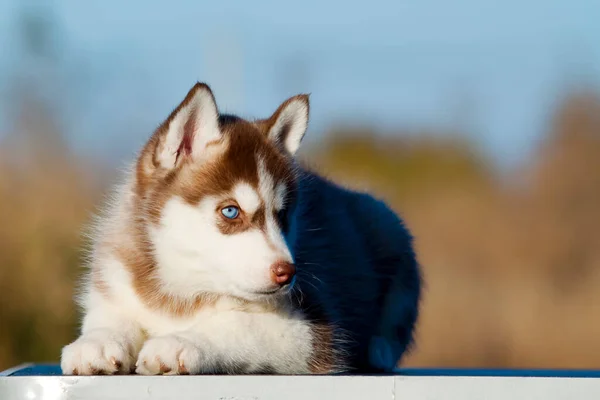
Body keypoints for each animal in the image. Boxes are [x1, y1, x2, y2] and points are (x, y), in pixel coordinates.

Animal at [58, 81, 420, 376]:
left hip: (386, 221)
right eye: (231, 211)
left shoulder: (310, 331)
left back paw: (379, 348)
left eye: (283, 215)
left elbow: (236, 323)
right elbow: (110, 319)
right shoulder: (114, 284)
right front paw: (96, 342)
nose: (287, 273)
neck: (184, 288)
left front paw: (180, 342)